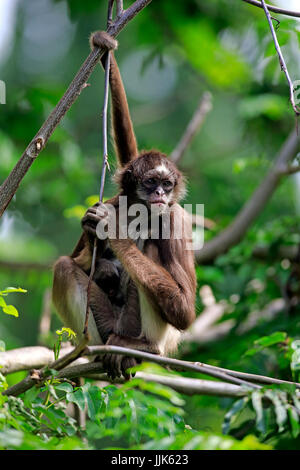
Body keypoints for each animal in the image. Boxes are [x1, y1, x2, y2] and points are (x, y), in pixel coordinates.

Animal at [52, 32, 197, 378]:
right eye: (151, 182)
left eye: (167, 185)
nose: (159, 195)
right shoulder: (114, 200)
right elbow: (76, 260)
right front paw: (97, 247)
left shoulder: (175, 218)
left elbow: (184, 311)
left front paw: (113, 233)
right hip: (106, 323)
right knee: (63, 267)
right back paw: (93, 350)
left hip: (135, 325)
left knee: (153, 252)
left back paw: (142, 349)